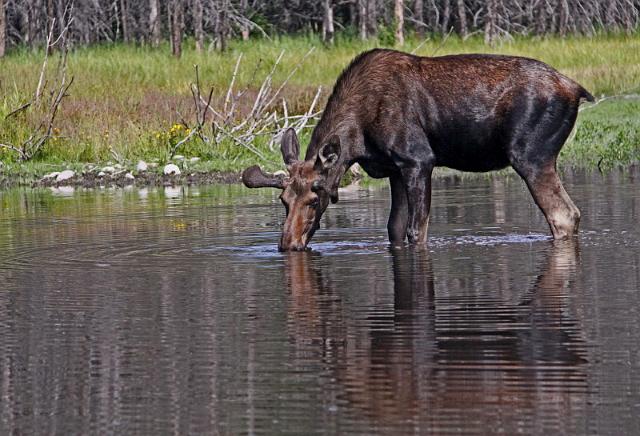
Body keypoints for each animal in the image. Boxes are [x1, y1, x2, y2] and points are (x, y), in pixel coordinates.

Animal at [241, 49, 596, 250]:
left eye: (315, 200)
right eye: (284, 201)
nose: (288, 245)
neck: (358, 138)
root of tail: (577, 89)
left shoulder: (418, 160)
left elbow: (417, 230)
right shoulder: (395, 170)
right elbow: (394, 230)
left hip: (531, 157)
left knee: (564, 215)